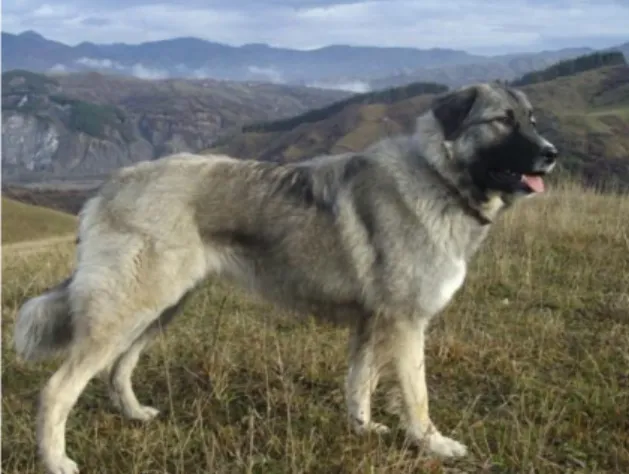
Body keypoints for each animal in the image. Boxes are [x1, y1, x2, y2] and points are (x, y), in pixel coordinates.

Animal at [13, 82, 556, 474]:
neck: (439, 178)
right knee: (57, 390)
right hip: (130, 308)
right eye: (502, 121)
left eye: (531, 119)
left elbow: (360, 381)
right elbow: (416, 396)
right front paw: (433, 444)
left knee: (118, 368)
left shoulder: (373, 323)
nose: (551, 153)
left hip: (160, 308)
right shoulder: (406, 324)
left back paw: (134, 415)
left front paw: (361, 430)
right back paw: (56, 461)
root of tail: (110, 185)